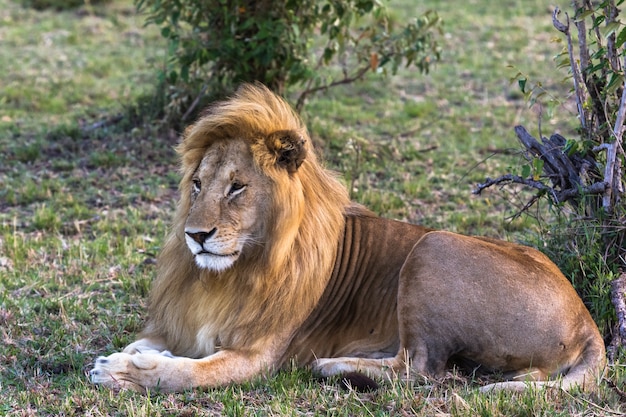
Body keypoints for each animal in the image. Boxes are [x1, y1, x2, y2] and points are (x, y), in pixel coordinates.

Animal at [89, 83, 604, 392]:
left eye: (237, 187)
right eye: (197, 184)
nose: (196, 235)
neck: (229, 274)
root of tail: (586, 319)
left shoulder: (259, 355)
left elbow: (188, 373)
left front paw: (124, 370)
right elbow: (150, 342)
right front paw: (128, 355)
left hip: (433, 247)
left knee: (420, 370)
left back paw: (331, 366)